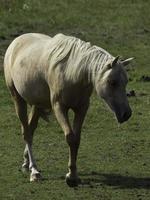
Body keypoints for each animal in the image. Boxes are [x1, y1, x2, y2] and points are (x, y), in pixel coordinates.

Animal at [3, 33, 132, 188]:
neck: (72, 72)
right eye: (112, 82)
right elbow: (70, 137)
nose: (126, 114)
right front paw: (70, 177)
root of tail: (16, 41)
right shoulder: (59, 107)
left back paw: (26, 162)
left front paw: (73, 175)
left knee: (31, 129)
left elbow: (76, 139)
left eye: (125, 82)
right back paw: (34, 171)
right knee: (27, 133)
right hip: (18, 99)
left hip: (37, 104)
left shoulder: (81, 108)